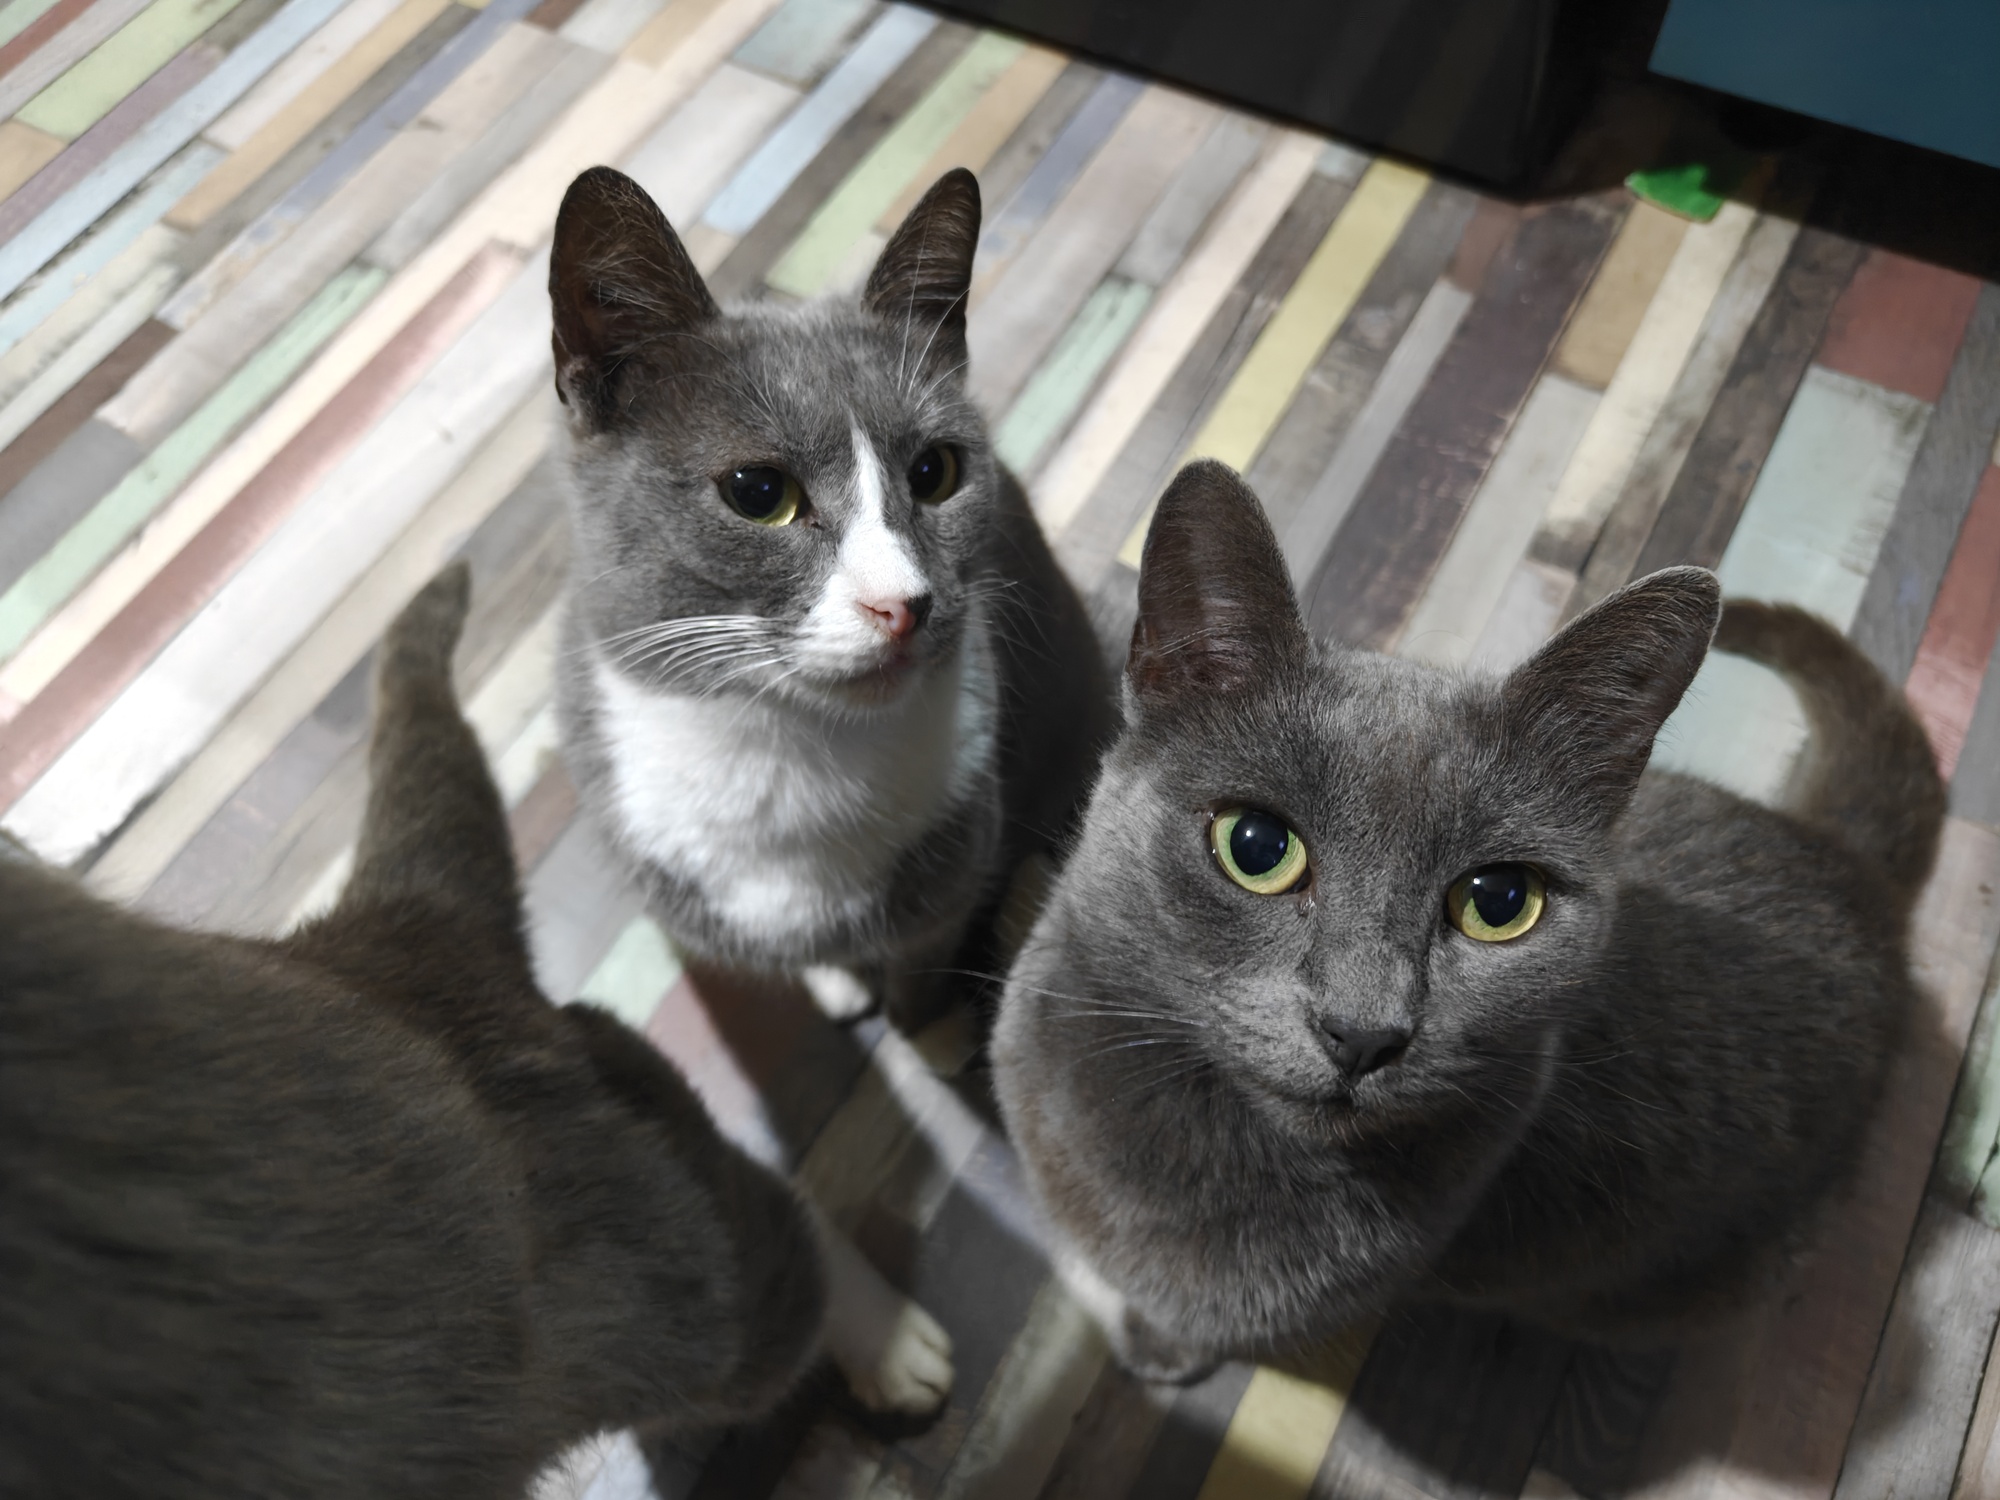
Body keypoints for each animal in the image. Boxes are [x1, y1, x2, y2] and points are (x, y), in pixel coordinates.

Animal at [547, 165, 1113, 1038]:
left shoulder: (954, 861)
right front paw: (840, 985)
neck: (787, 755)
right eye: (758, 492)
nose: (904, 602)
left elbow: (921, 961)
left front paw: (921, 1025)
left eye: (936, 472)